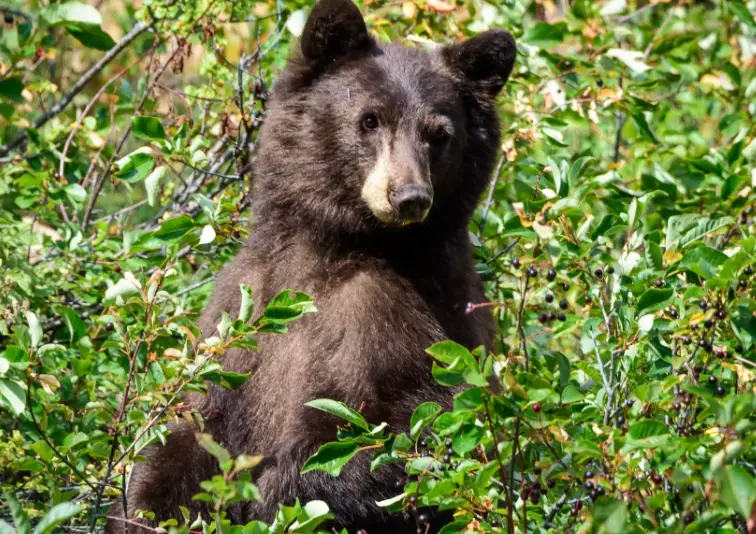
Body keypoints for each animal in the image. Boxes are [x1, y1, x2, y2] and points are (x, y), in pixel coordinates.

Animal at [105, 0, 516, 532]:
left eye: (440, 135)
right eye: (369, 120)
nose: (409, 196)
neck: (333, 249)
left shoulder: (403, 314)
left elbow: (410, 431)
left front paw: (270, 495)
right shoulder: (239, 308)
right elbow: (190, 429)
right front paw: (144, 505)